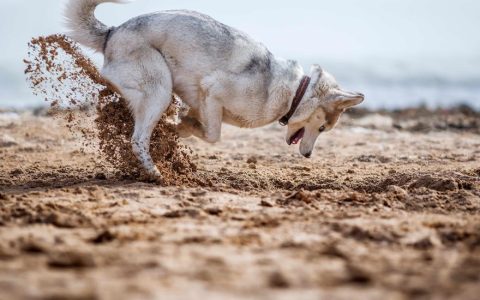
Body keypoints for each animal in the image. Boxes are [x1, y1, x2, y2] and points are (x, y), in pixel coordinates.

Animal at [64, 0, 364, 177]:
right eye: (322, 128)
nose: (309, 155)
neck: (294, 93)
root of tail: (112, 32)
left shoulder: (202, 103)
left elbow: (198, 126)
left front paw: (180, 126)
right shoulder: (212, 90)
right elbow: (212, 135)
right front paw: (178, 127)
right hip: (160, 89)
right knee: (138, 139)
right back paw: (155, 173)